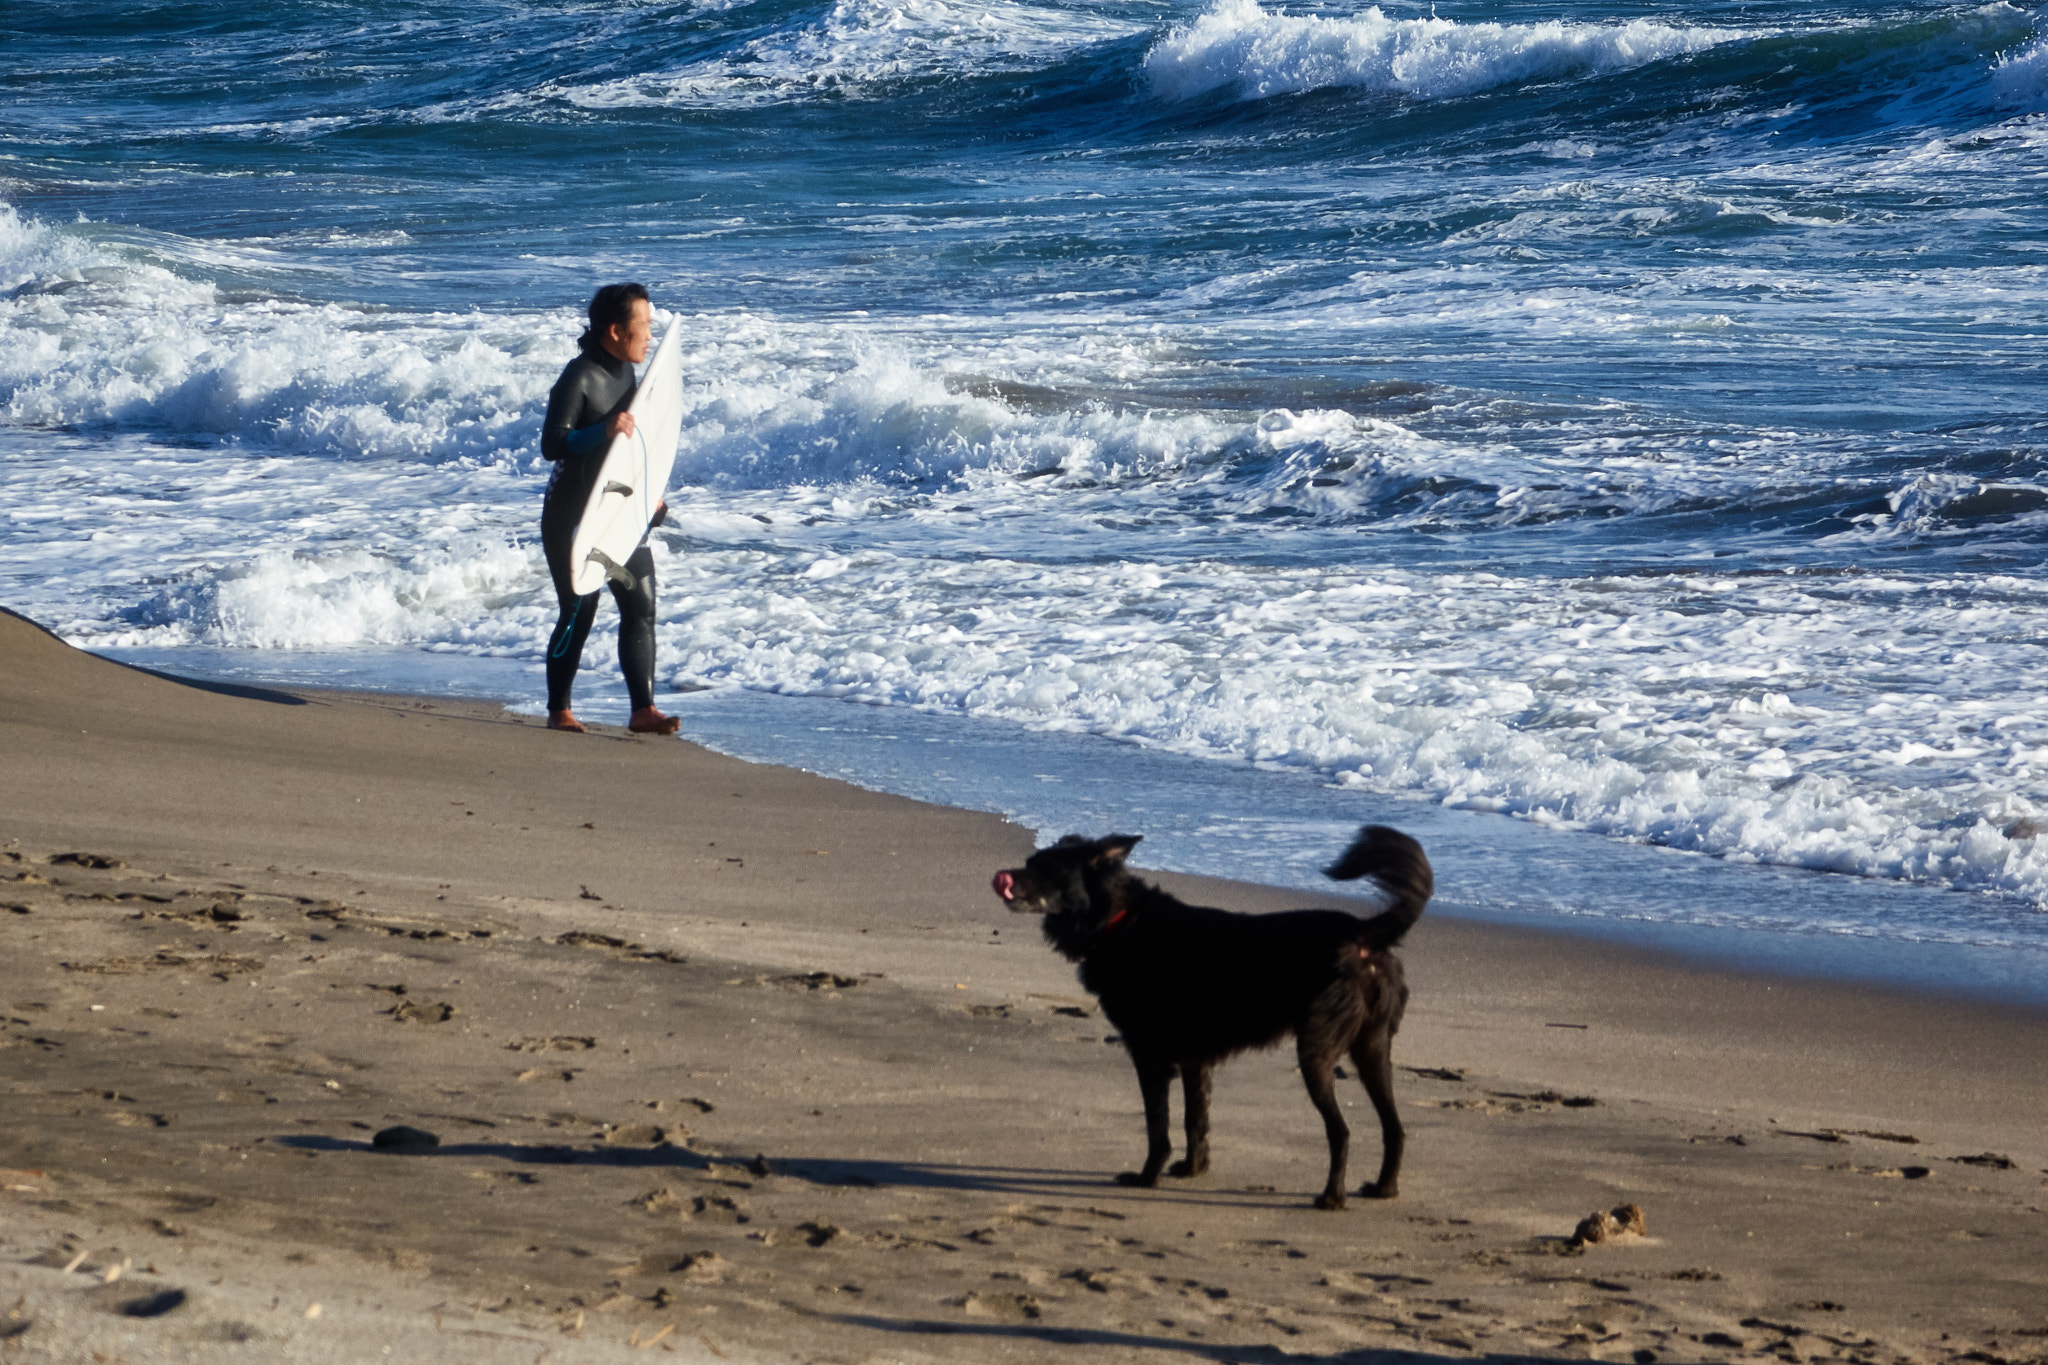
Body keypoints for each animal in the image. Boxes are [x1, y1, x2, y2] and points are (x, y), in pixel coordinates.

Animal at [987, 826, 1433, 1211]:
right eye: (1030, 861)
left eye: (1048, 870)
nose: (1004, 877)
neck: (1119, 920)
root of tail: (1364, 934)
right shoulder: (1194, 1060)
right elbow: (1195, 1119)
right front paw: (1192, 1169)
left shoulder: (1150, 1057)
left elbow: (1158, 1124)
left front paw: (1148, 1177)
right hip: (1371, 1047)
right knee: (1395, 1126)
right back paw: (1384, 1188)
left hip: (1316, 1051)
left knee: (1341, 1130)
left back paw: (1331, 1198)